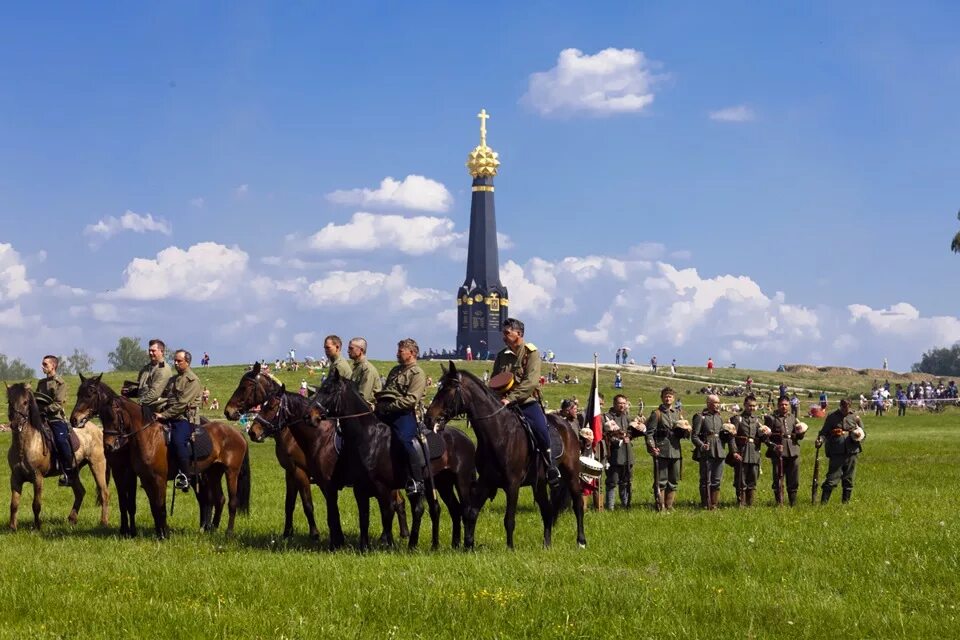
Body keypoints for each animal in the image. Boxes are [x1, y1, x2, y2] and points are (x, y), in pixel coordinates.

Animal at [6, 382, 110, 532]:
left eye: (25, 402)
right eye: (10, 401)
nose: (15, 424)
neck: (26, 444)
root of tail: (98, 430)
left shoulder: (38, 478)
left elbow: (36, 504)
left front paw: (37, 527)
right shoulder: (15, 478)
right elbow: (14, 504)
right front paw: (12, 528)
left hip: (97, 465)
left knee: (104, 493)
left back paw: (104, 522)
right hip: (73, 471)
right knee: (80, 492)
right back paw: (72, 519)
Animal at [71, 372, 251, 536]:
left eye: (89, 394)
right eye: (78, 394)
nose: (74, 419)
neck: (147, 436)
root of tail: (237, 433)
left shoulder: (154, 478)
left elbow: (157, 505)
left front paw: (160, 533)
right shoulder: (133, 475)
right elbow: (141, 505)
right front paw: (133, 531)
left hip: (230, 472)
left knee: (226, 501)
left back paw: (224, 531)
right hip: (213, 472)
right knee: (217, 499)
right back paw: (210, 529)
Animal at [224, 364, 408, 544]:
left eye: (245, 386)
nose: (228, 411)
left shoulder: (304, 473)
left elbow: (310, 505)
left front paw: (316, 535)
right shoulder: (291, 473)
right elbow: (290, 504)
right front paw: (287, 534)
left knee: (394, 502)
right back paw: (402, 533)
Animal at [308, 368, 480, 552]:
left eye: (329, 390)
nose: (310, 415)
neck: (369, 437)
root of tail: (465, 438)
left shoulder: (383, 488)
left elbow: (387, 514)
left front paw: (387, 544)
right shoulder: (360, 489)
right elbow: (364, 518)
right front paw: (364, 547)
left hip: (461, 481)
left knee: (465, 508)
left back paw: (464, 544)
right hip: (442, 483)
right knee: (453, 509)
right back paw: (450, 544)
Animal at [426, 362, 584, 548]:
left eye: (448, 389)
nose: (428, 419)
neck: (499, 433)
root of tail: (567, 425)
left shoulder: (512, 484)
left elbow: (509, 520)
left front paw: (510, 548)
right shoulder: (486, 481)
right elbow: (471, 513)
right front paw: (468, 546)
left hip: (571, 474)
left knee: (578, 503)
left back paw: (581, 541)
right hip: (539, 484)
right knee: (547, 510)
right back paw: (547, 544)